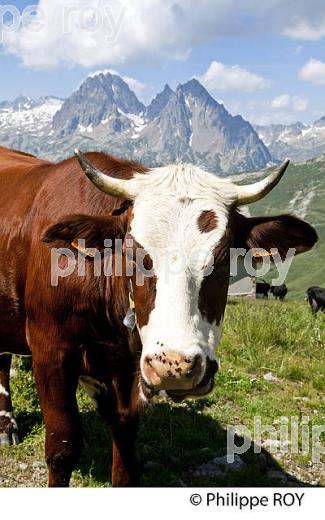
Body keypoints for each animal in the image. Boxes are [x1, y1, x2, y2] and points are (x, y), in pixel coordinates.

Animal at [0, 144, 316, 486]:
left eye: (223, 259)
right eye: (133, 254)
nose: (175, 366)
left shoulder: (129, 372)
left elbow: (125, 451)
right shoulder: (50, 352)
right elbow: (62, 446)